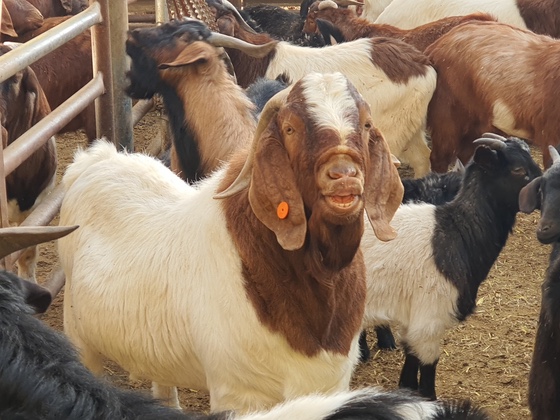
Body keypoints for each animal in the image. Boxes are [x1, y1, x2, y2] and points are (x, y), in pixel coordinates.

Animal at [58, 71, 404, 413]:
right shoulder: (240, 392)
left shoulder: (330, 383)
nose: (343, 176)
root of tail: (94, 159)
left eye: (366, 124)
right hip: (78, 335)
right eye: (290, 128)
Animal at [360, 134, 542, 399]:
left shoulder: (413, 317)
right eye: (518, 170)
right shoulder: (430, 316)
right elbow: (427, 372)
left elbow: (409, 366)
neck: (458, 232)